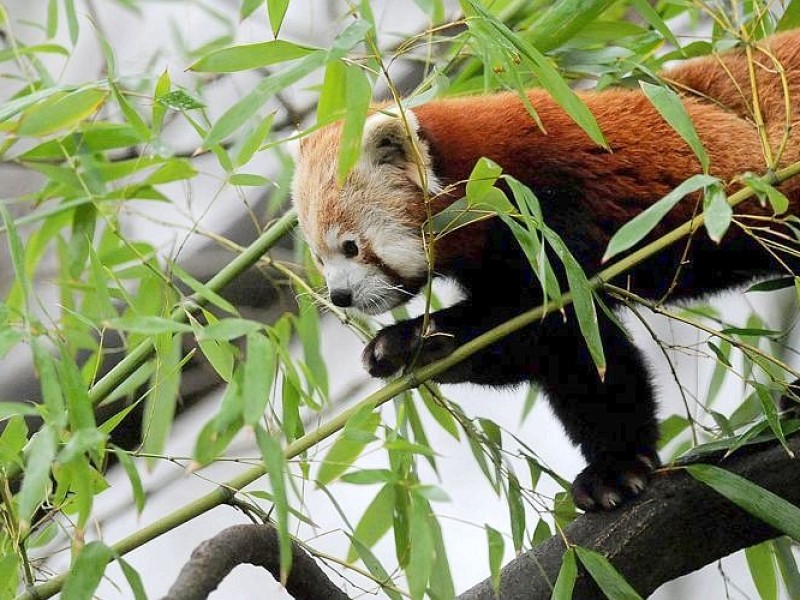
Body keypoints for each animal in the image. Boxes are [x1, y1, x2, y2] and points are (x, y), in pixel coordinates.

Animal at [292, 30, 800, 510]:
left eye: (351, 247)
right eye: (319, 258)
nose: (339, 297)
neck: (488, 179)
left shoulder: (553, 213)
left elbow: (552, 333)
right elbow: (557, 355)